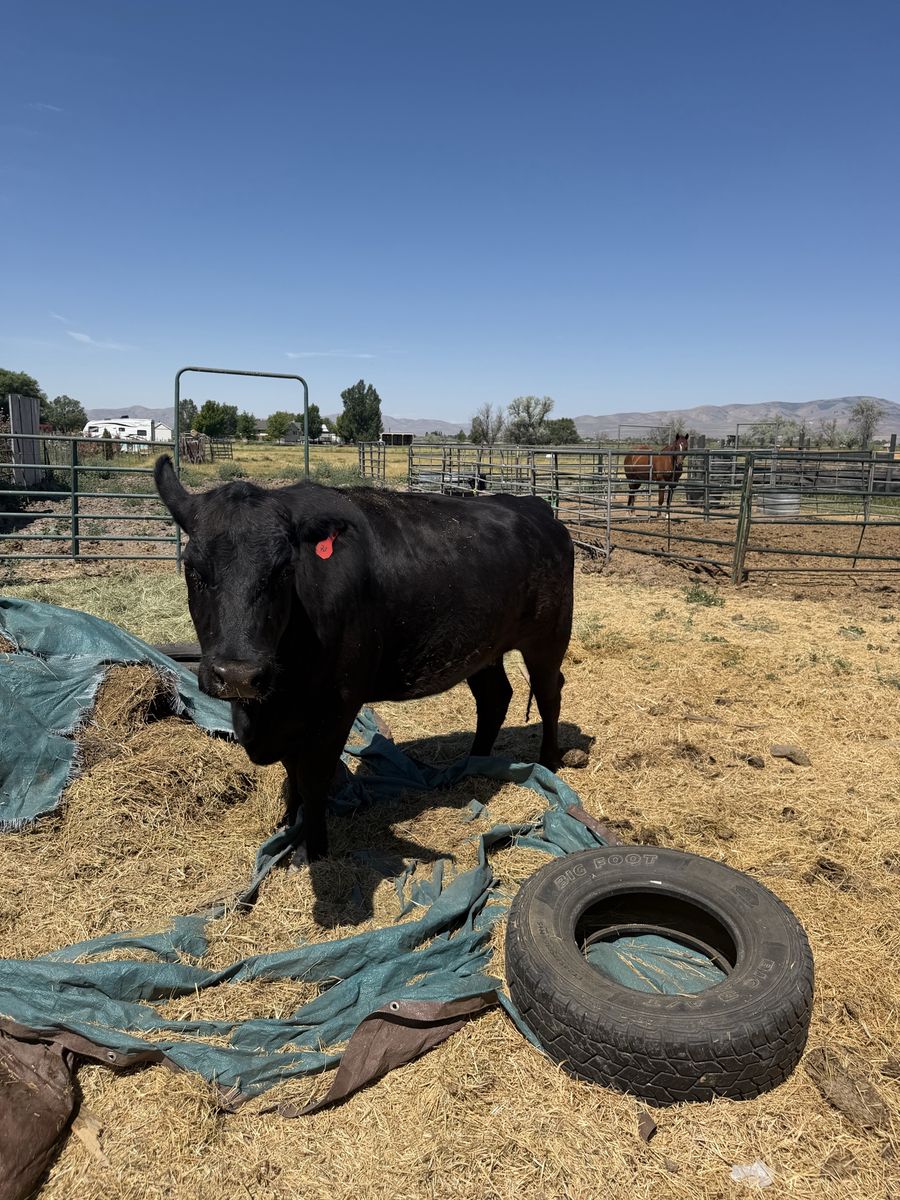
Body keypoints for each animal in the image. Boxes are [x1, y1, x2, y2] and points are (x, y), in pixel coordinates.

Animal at [155, 456, 574, 862]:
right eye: (192, 568)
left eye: (285, 570)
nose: (239, 675)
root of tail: (533, 506)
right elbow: (292, 772)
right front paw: (288, 823)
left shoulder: (339, 704)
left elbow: (313, 776)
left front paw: (312, 847)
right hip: (483, 647)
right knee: (494, 697)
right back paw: (475, 764)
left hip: (549, 637)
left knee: (549, 693)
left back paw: (548, 761)